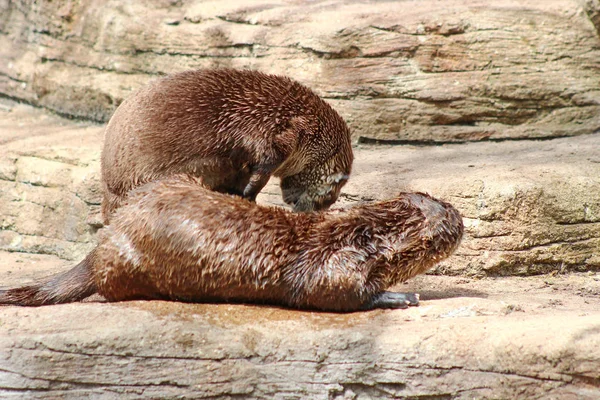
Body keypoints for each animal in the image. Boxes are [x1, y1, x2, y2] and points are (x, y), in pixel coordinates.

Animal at [0, 177, 464, 310]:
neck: (357, 234)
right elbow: (335, 293)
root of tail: (106, 239)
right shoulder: (330, 263)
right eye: (445, 224)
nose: (459, 217)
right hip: (124, 264)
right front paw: (400, 296)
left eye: (440, 200)